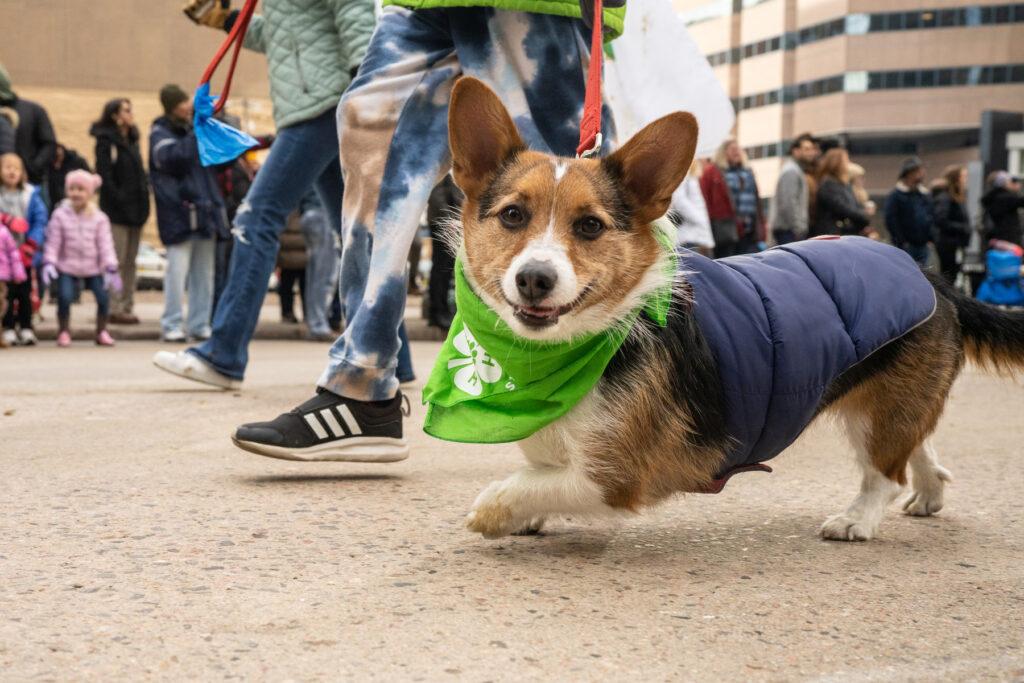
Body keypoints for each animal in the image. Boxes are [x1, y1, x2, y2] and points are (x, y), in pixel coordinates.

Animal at [444, 77, 1024, 540]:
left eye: (589, 226)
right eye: (513, 215)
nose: (534, 279)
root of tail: (931, 276)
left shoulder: (613, 478)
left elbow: (525, 486)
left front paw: (495, 512)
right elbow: (538, 476)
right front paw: (526, 517)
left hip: (875, 414)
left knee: (885, 470)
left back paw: (857, 519)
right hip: (888, 400)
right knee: (916, 446)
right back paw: (929, 493)